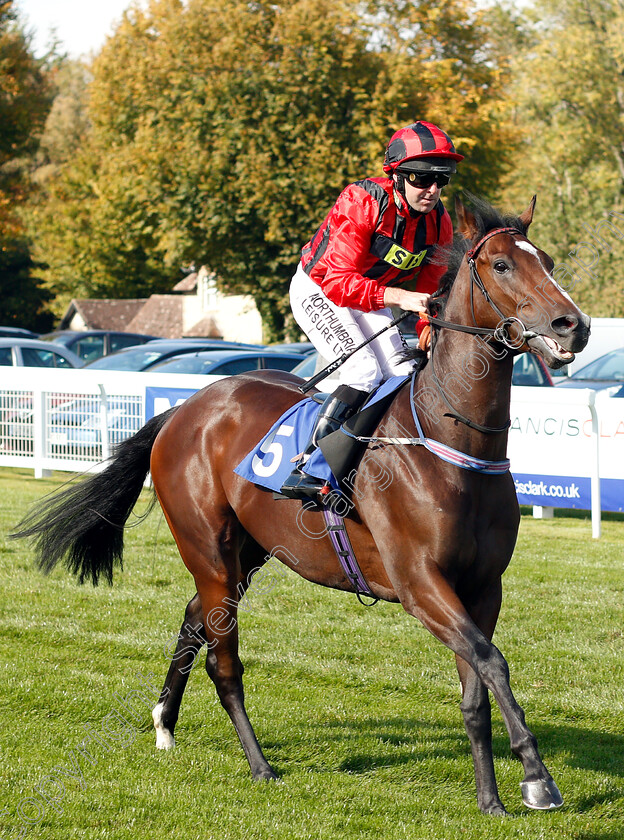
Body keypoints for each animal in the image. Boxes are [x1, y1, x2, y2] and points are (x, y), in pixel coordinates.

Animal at [13, 195, 588, 812]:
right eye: (502, 265)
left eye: (548, 260)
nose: (574, 325)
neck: (451, 438)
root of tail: (183, 410)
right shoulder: (420, 584)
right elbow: (492, 662)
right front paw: (537, 776)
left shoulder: (481, 587)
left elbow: (476, 688)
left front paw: (492, 798)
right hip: (208, 549)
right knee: (224, 660)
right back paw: (259, 763)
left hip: (247, 552)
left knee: (196, 618)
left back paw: (165, 721)